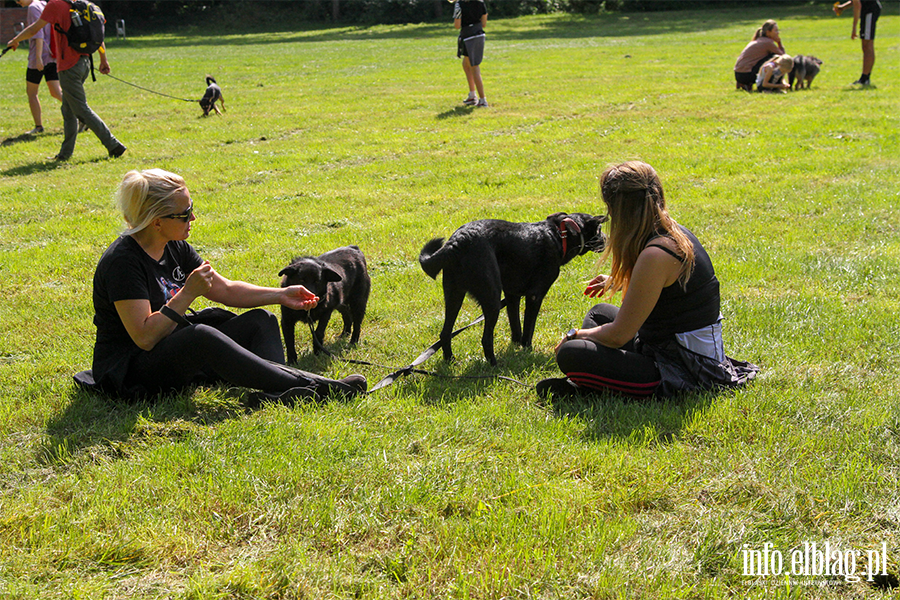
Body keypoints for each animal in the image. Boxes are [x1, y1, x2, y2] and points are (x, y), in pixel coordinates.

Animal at [420, 214, 604, 366]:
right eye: (600, 229)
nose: (606, 238)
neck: (560, 234)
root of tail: (456, 242)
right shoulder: (535, 296)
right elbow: (529, 327)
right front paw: (527, 349)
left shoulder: (511, 295)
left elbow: (515, 323)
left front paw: (516, 345)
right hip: (492, 300)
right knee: (486, 339)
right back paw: (494, 365)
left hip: (454, 296)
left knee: (445, 333)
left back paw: (451, 361)